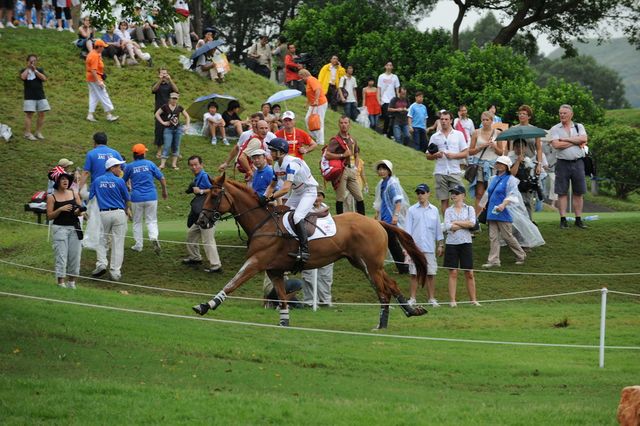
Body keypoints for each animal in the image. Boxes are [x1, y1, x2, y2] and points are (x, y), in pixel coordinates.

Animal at [192, 174, 428, 330]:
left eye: (215, 196)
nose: (201, 221)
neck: (263, 222)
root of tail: (376, 221)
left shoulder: (256, 261)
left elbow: (232, 283)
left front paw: (205, 305)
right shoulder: (274, 270)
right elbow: (282, 298)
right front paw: (284, 322)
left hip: (371, 265)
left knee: (384, 291)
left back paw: (382, 324)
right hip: (364, 264)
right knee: (391, 285)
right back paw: (411, 311)